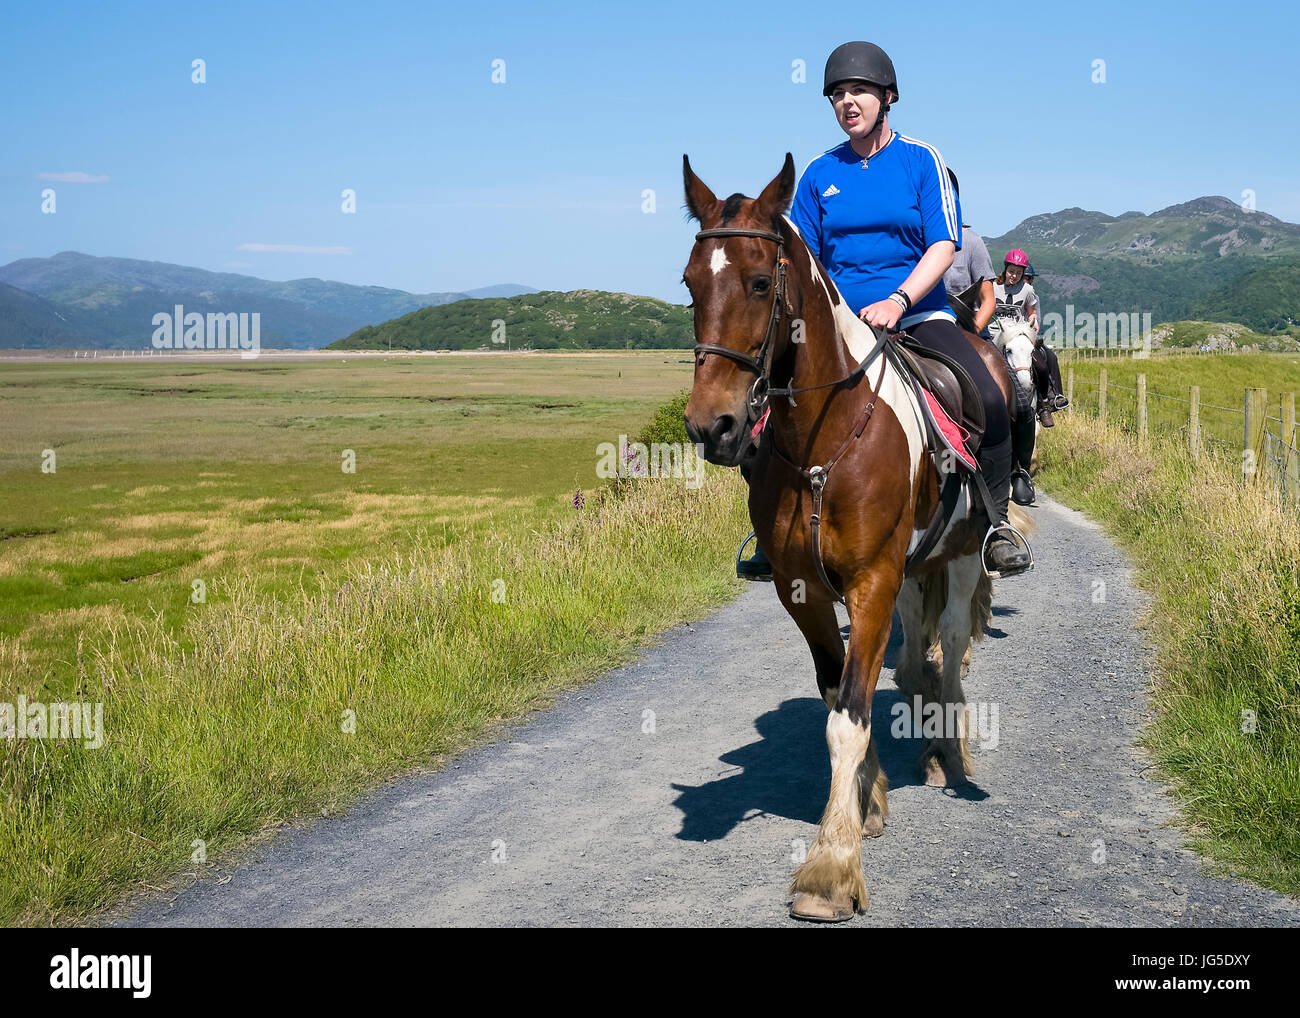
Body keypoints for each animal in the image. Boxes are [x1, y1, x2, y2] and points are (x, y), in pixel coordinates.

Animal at [681, 153, 1024, 925]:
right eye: (689, 283)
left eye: (759, 282)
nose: (711, 426)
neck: (823, 440)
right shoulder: (804, 592)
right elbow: (837, 694)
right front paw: (867, 801)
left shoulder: (869, 583)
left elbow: (851, 716)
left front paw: (830, 869)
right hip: (914, 567)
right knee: (917, 643)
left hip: (963, 555)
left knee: (949, 641)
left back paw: (946, 753)